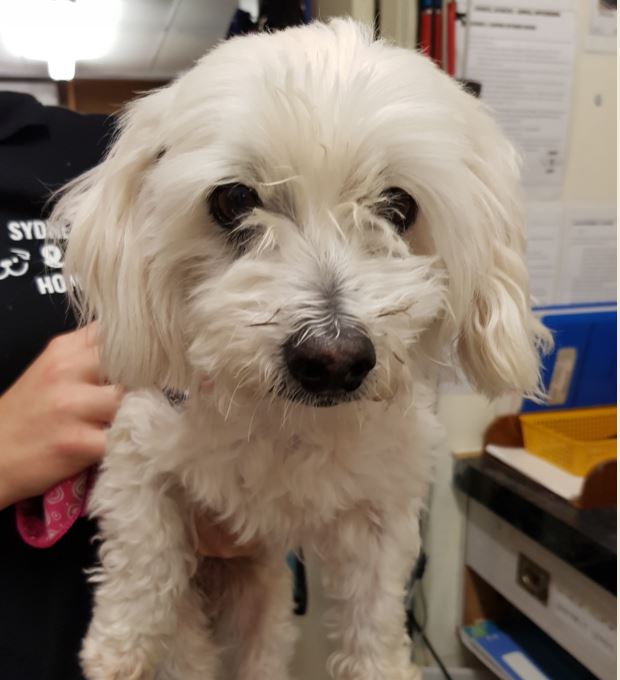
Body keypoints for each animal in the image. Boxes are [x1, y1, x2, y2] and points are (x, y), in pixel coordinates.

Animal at [52, 19, 551, 680]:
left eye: (399, 205)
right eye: (234, 200)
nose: (333, 359)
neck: (287, 423)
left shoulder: (382, 512)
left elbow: (374, 615)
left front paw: (381, 665)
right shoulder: (138, 450)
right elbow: (143, 556)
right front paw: (116, 647)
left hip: (264, 606)